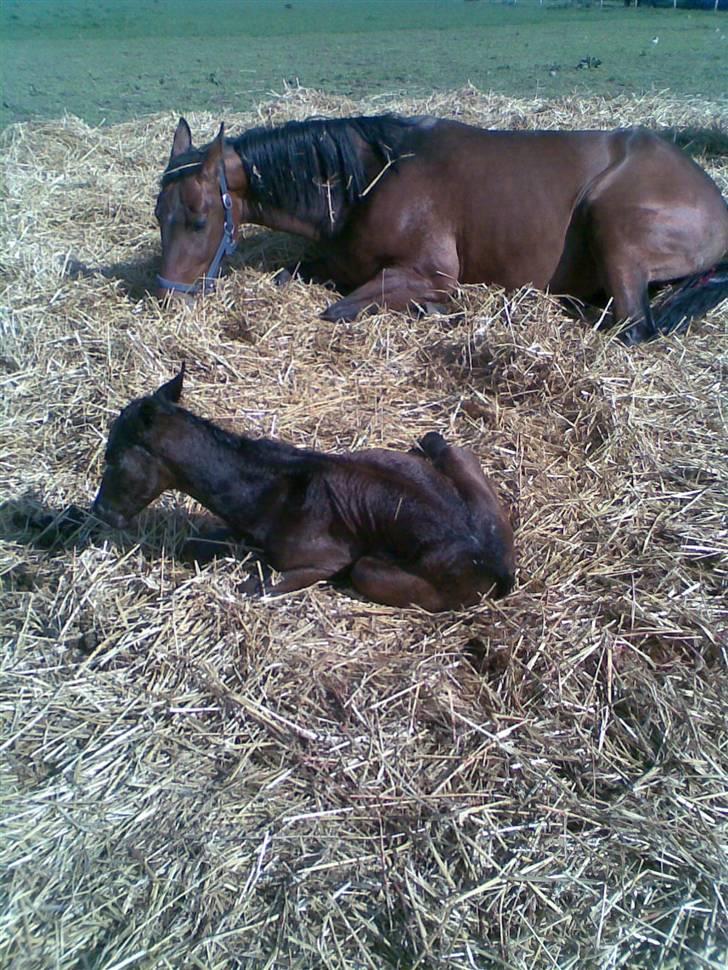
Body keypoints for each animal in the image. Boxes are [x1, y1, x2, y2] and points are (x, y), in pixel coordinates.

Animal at [155, 114, 728, 344]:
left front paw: (437, 312)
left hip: (614, 229)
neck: (373, 179)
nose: (166, 296)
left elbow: (340, 309)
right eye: (158, 215)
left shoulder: (429, 274)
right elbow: (292, 274)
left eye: (199, 219)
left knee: (632, 328)